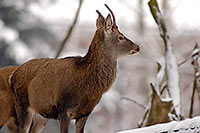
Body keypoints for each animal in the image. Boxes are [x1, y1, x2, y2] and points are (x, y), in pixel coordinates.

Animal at [10, 4, 140, 133]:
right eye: (121, 37)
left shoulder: (85, 113)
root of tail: (12, 76)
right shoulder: (63, 109)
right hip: (22, 104)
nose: (137, 46)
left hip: (41, 114)